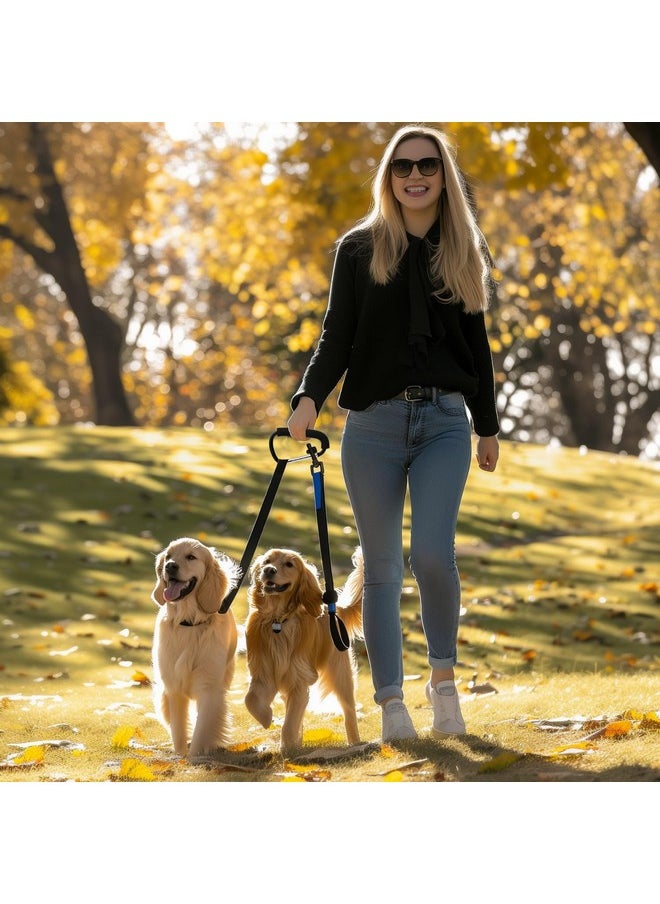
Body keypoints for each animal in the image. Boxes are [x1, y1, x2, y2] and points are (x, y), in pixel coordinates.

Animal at [151, 536, 240, 756]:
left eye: (191, 557)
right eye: (168, 556)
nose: (170, 566)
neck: (189, 623)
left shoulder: (208, 689)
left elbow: (201, 731)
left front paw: (194, 757)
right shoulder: (173, 689)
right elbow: (178, 732)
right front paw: (181, 755)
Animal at [245, 548, 364, 752]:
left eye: (289, 564)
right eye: (267, 561)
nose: (268, 570)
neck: (278, 621)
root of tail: (335, 608)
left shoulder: (298, 679)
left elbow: (290, 723)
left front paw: (288, 748)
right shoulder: (263, 672)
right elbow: (250, 699)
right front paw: (267, 717)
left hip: (340, 675)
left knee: (349, 710)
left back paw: (354, 741)